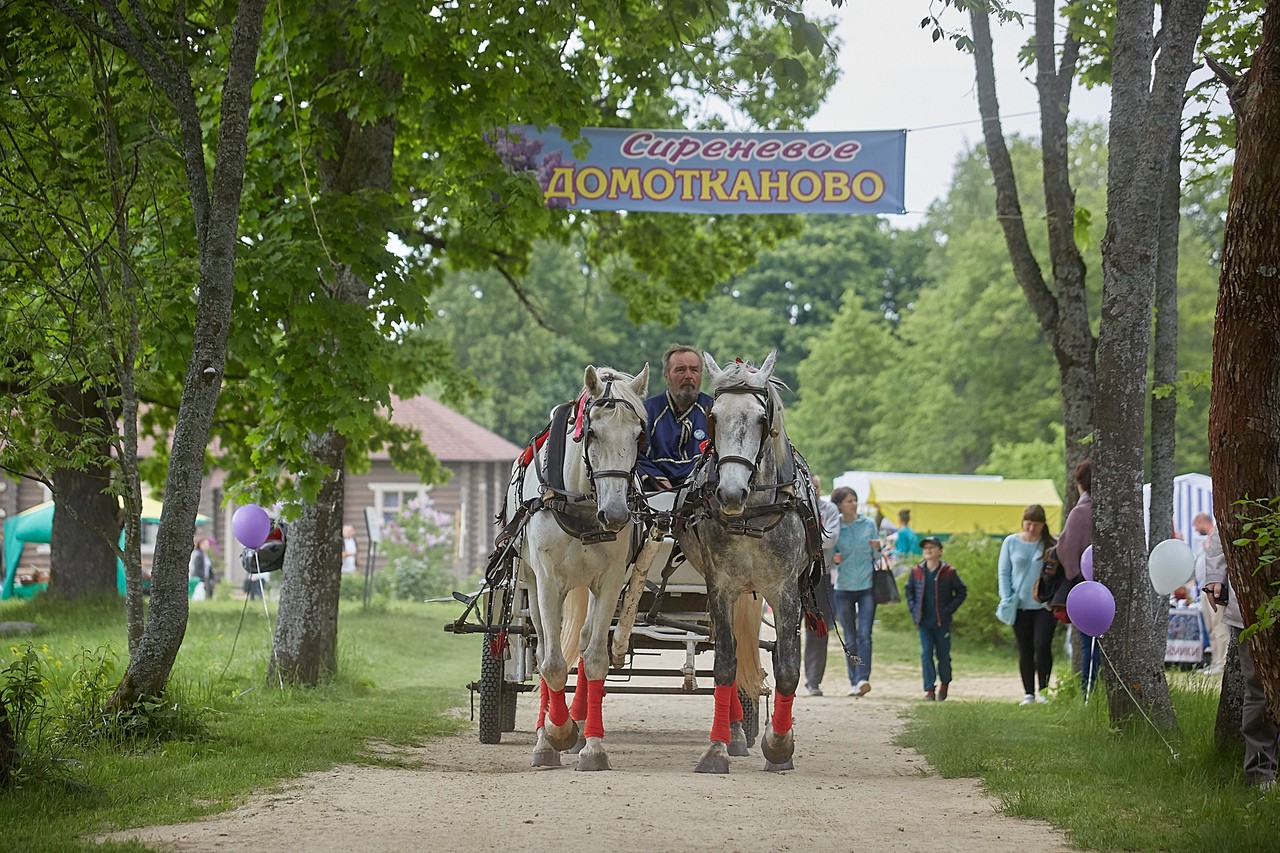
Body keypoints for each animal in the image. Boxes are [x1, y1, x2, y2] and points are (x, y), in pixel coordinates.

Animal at [512, 363, 650, 768]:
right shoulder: (547, 582)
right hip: (532, 584)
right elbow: (553, 663)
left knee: (587, 643)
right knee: (544, 648)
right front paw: (556, 733)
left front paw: (592, 745)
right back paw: (546, 733)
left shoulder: (609, 582)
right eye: (592, 433)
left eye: (639, 435)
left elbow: (595, 660)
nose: (617, 514)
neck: (584, 508)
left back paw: (579, 720)